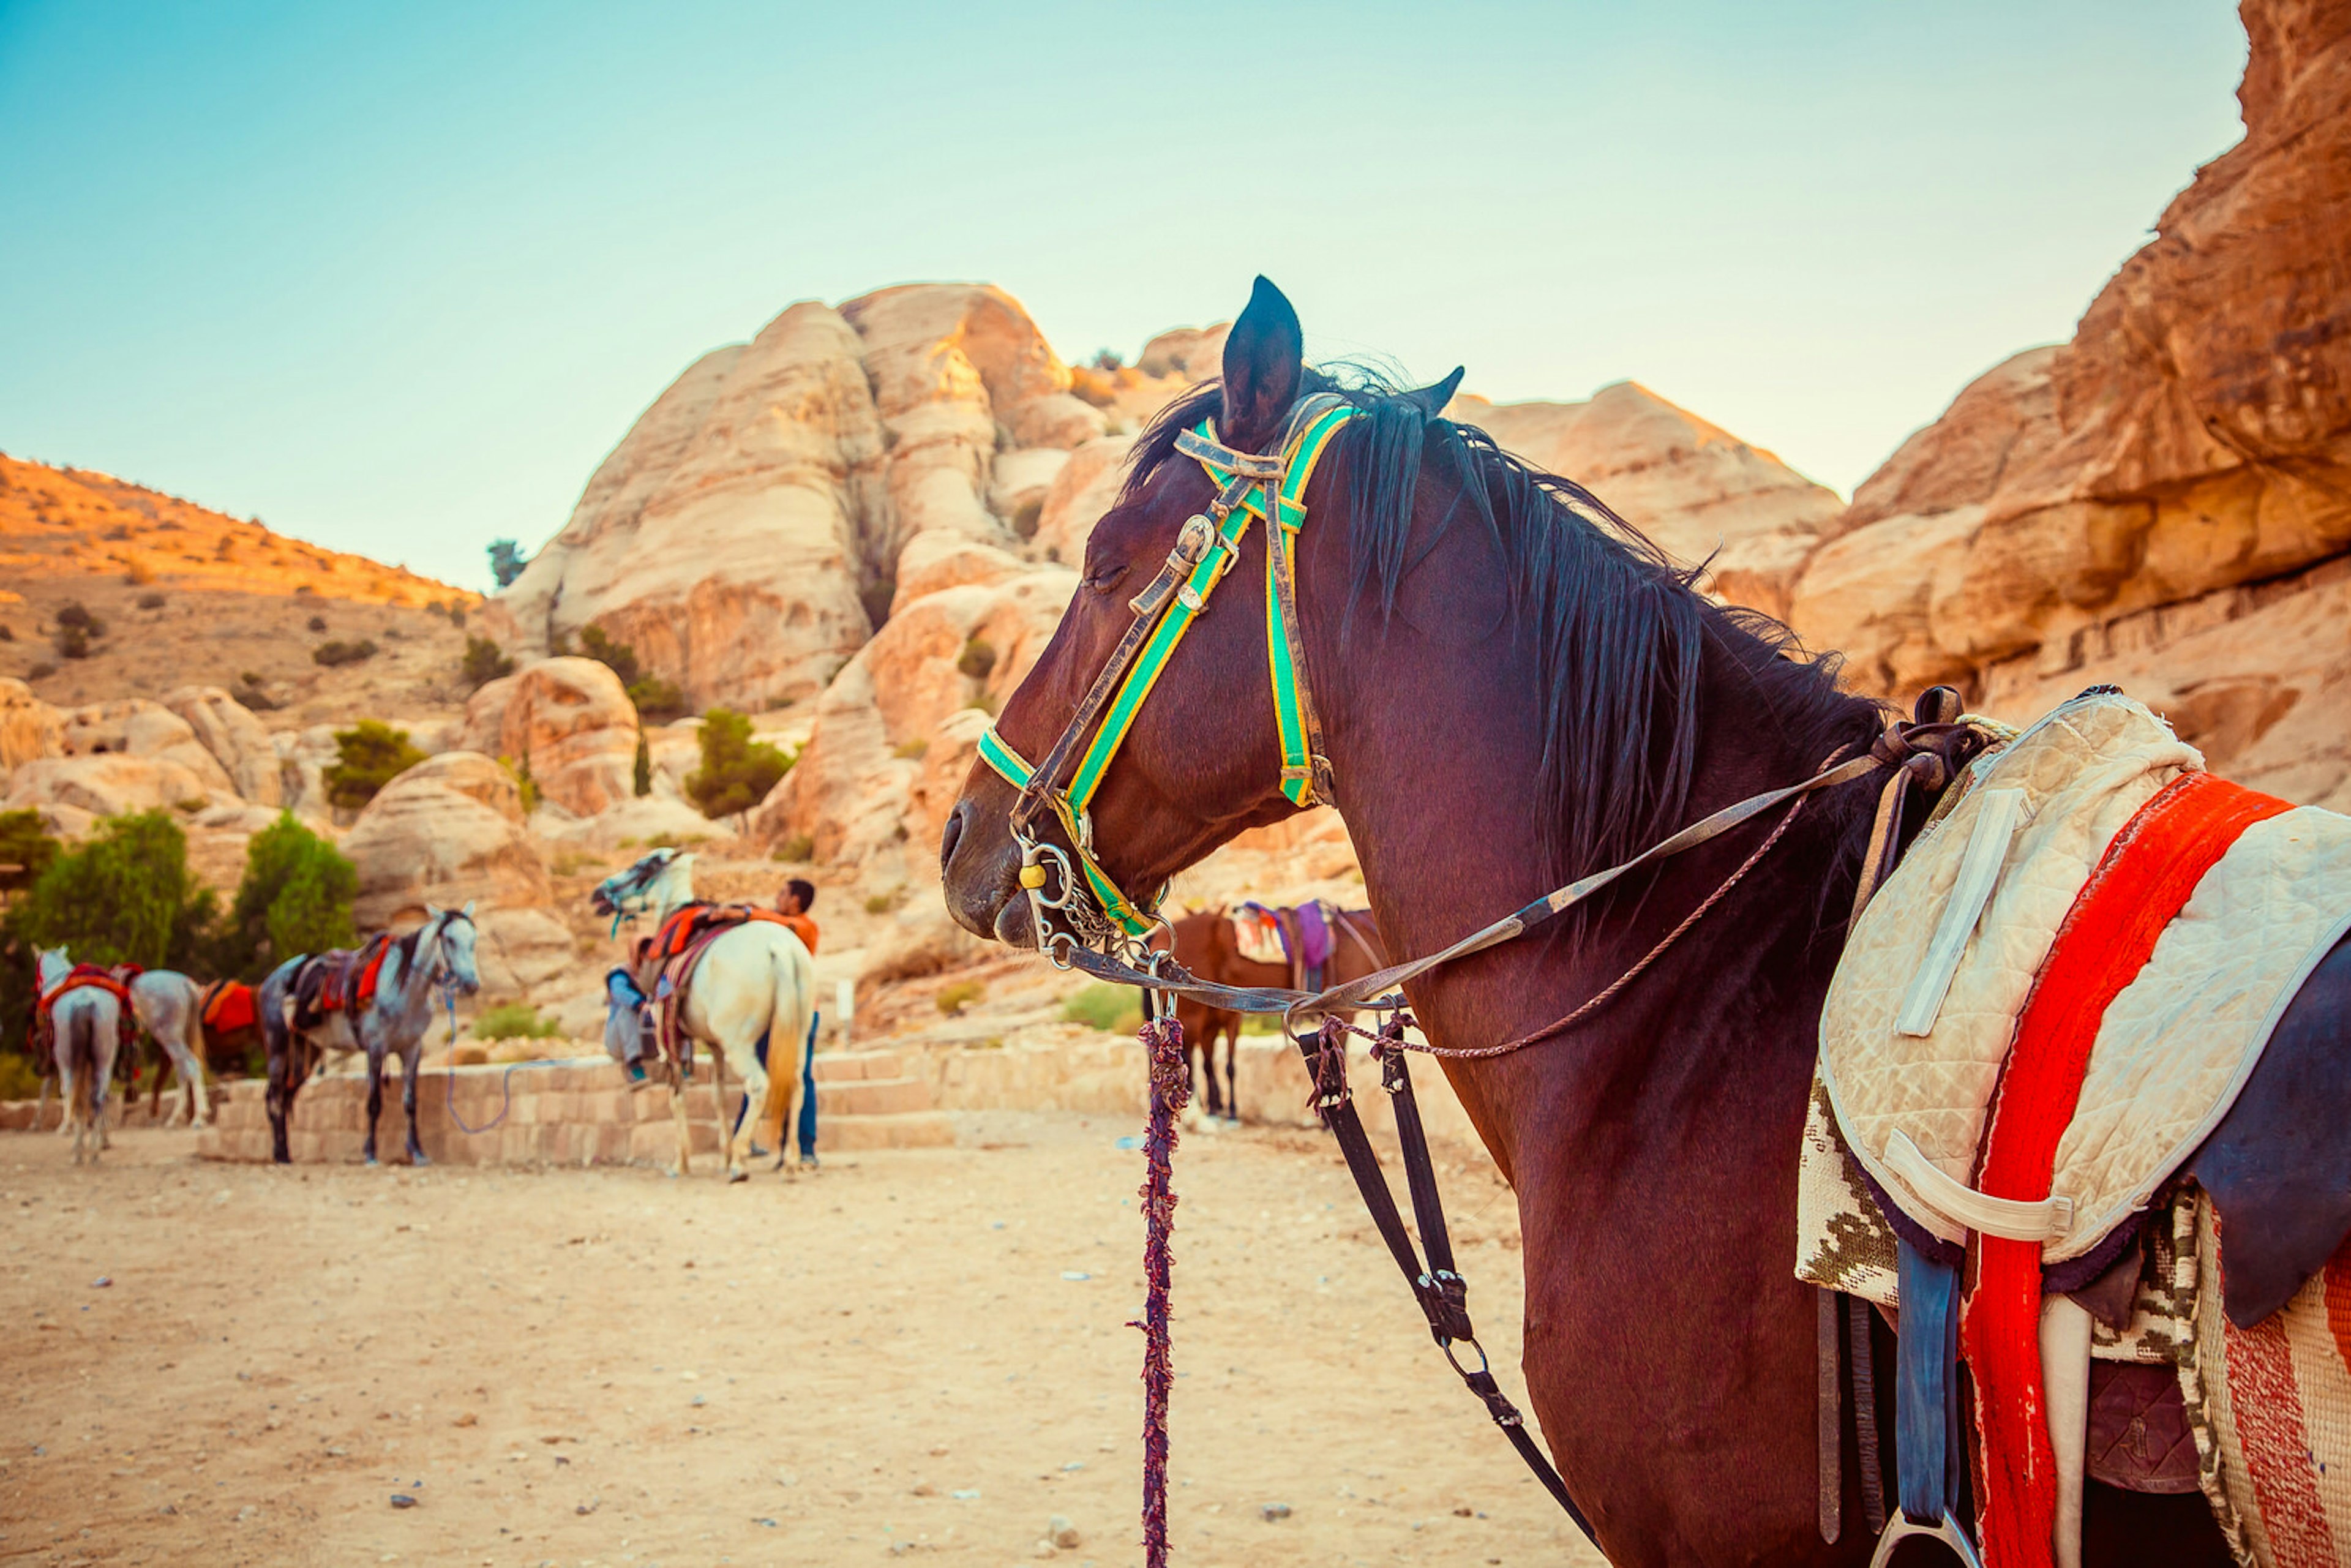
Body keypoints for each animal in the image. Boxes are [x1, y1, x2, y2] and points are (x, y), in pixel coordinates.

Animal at [592, 850, 823, 1185]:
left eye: (640, 866)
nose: (598, 894)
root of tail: (779, 947)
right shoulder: (714, 1045)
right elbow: (718, 1095)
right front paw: (722, 1156)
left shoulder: (668, 1040)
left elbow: (677, 1095)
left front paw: (681, 1163)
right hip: (797, 1034)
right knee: (796, 1085)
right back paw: (790, 1160)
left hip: (739, 1044)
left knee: (759, 1085)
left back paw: (740, 1160)